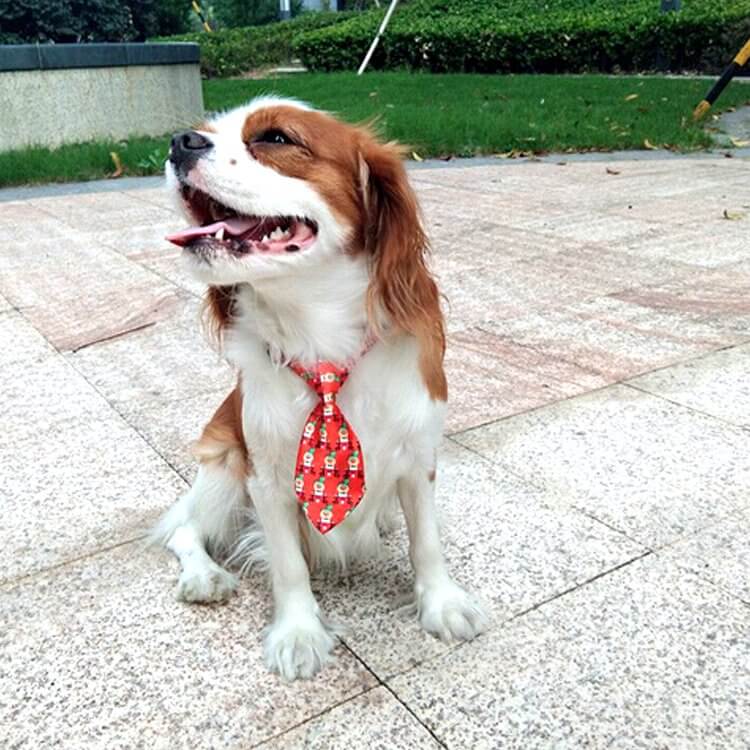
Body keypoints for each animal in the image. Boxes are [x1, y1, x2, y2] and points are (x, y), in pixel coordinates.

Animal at [156, 98, 490, 680]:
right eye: (207, 129)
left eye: (275, 138)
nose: (180, 141)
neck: (322, 345)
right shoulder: (264, 477)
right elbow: (289, 564)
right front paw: (299, 633)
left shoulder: (418, 457)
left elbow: (426, 541)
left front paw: (442, 604)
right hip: (223, 468)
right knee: (185, 529)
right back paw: (204, 576)